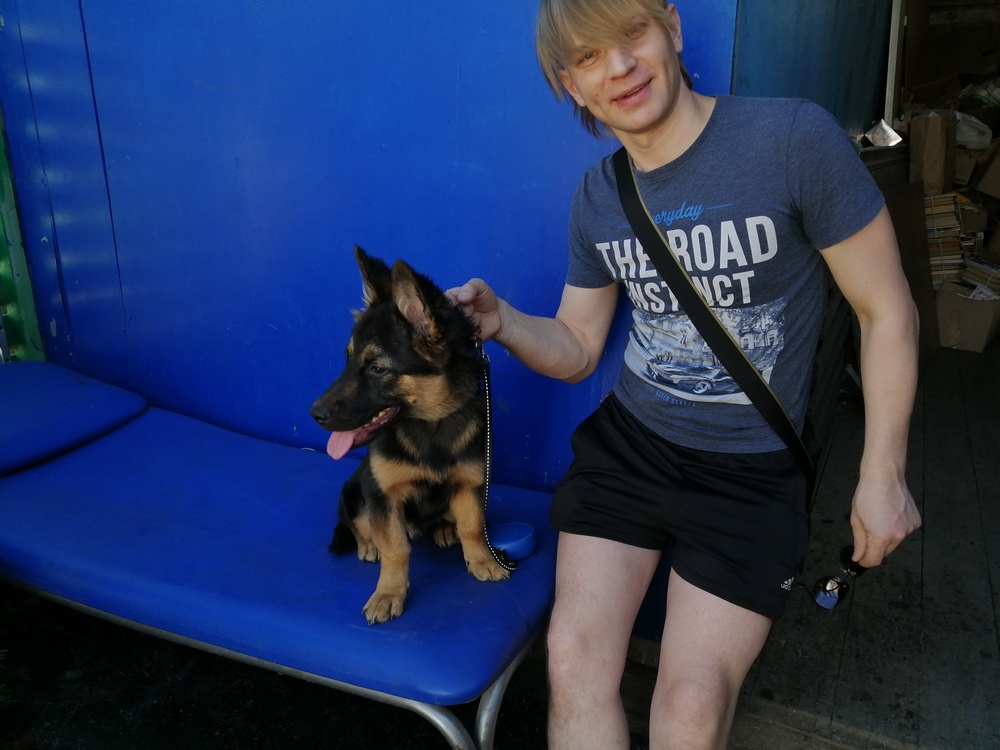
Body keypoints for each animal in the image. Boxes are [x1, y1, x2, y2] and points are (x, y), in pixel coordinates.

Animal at [310, 246, 511, 624]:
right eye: (347, 358)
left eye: (377, 368)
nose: (314, 414)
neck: (429, 424)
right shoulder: (381, 493)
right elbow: (395, 547)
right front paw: (389, 592)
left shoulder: (472, 484)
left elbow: (473, 526)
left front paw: (482, 560)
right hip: (353, 490)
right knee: (358, 523)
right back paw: (368, 544)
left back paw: (443, 527)